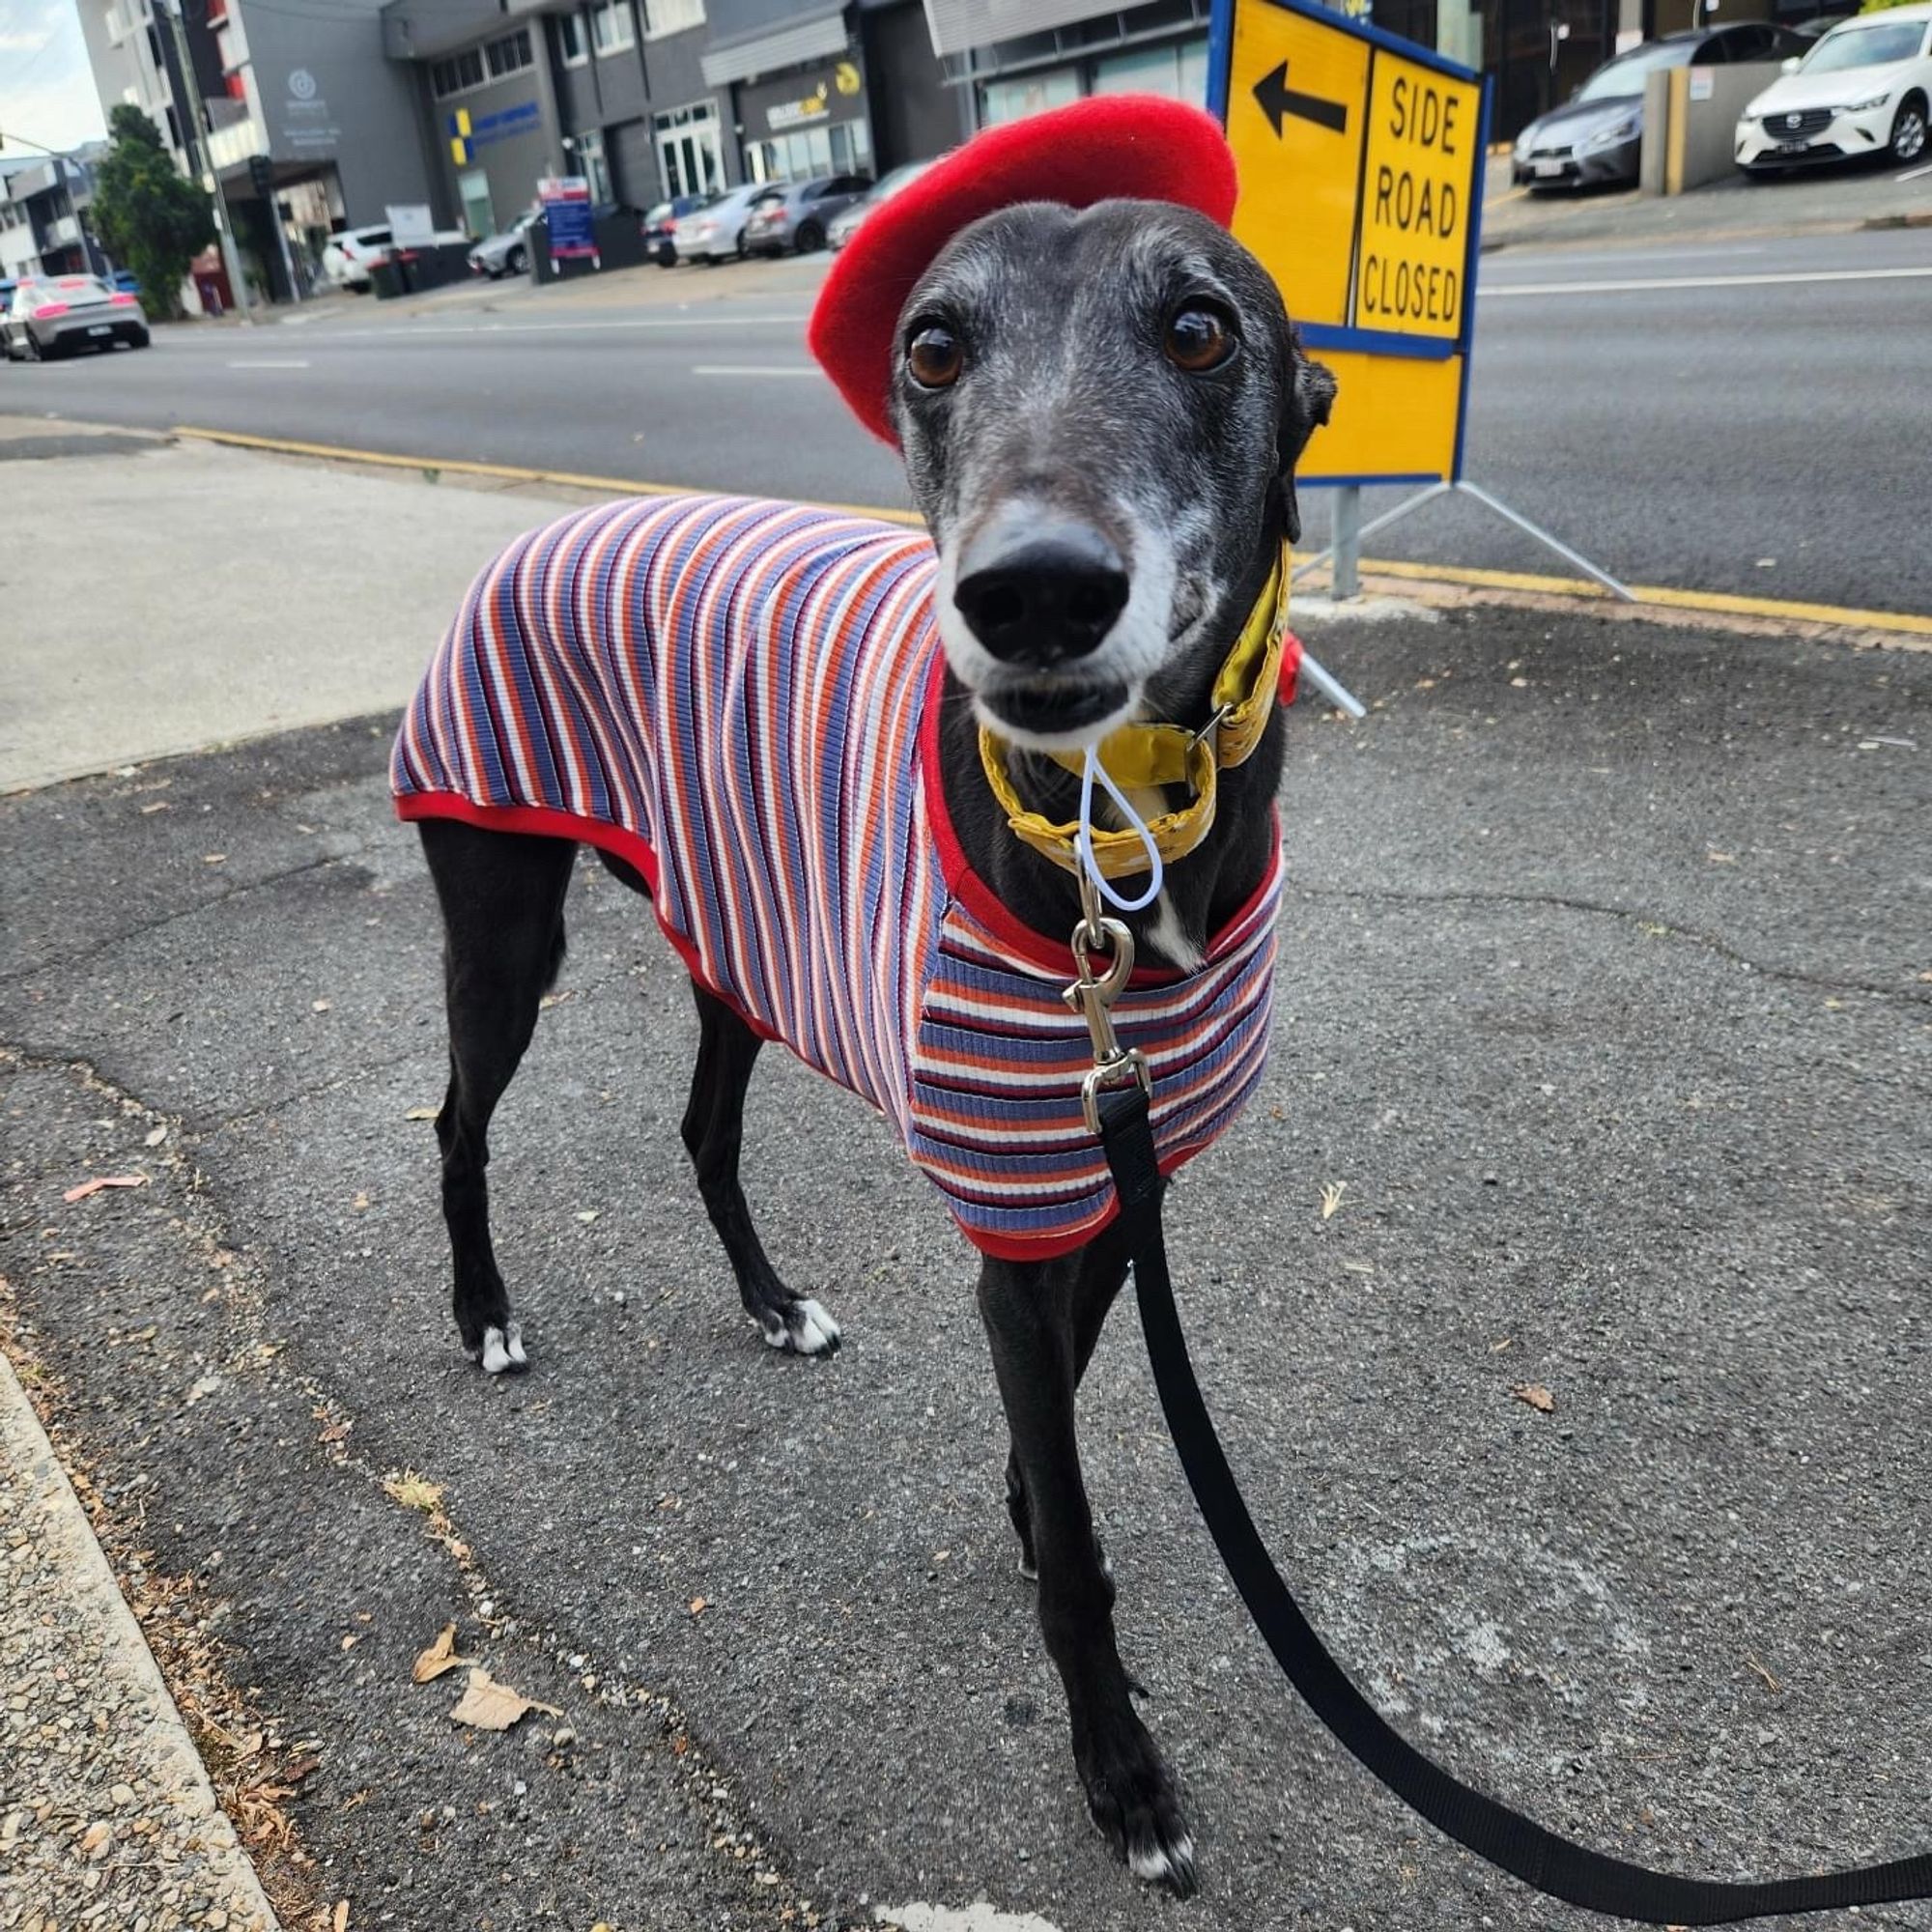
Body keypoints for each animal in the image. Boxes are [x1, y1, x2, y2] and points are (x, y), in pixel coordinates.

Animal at [415, 200, 1337, 1901]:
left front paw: (1029, 1514)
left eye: (1202, 328)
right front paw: (1120, 1771)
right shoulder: (1020, 1209)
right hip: (506, 925)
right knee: (458, 1122)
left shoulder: (1112, 1185)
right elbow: (1081, 1548)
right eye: (932, 346)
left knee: (703, 1129)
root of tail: (534, 534)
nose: (1033, 595)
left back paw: (771, 1303)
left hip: (735, 934)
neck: (1121, 835)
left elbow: (1063, 1415)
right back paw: (486, 1313)